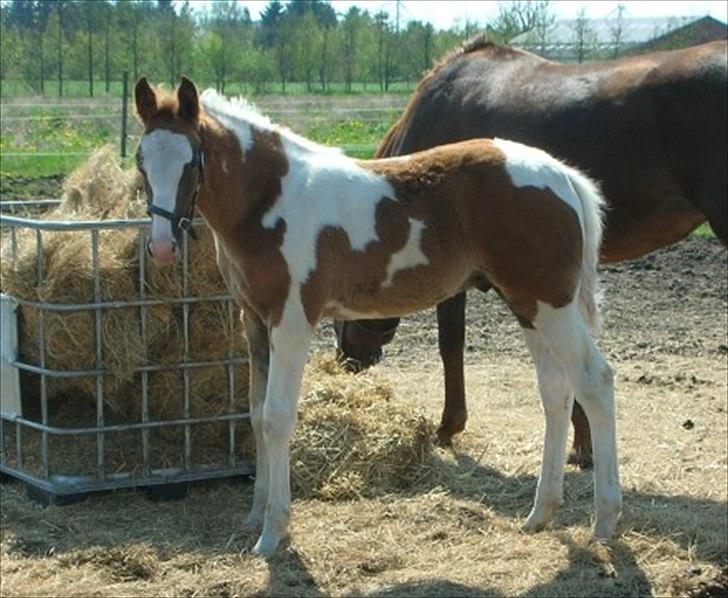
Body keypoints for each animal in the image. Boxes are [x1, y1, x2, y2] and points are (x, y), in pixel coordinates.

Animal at [132, 77, 620, 560]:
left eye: (192, 159)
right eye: (141, 160)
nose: (162, 246)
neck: (271, 201)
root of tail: (561, 174)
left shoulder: (292, 321)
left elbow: (277, 417)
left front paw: (273, 534)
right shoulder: (253, 321)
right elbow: (254, 415)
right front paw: (255, 514)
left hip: (551, 303)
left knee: (594, 380)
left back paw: (605, 521)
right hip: (527, 305)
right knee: (555, 391)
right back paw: (541, 513)